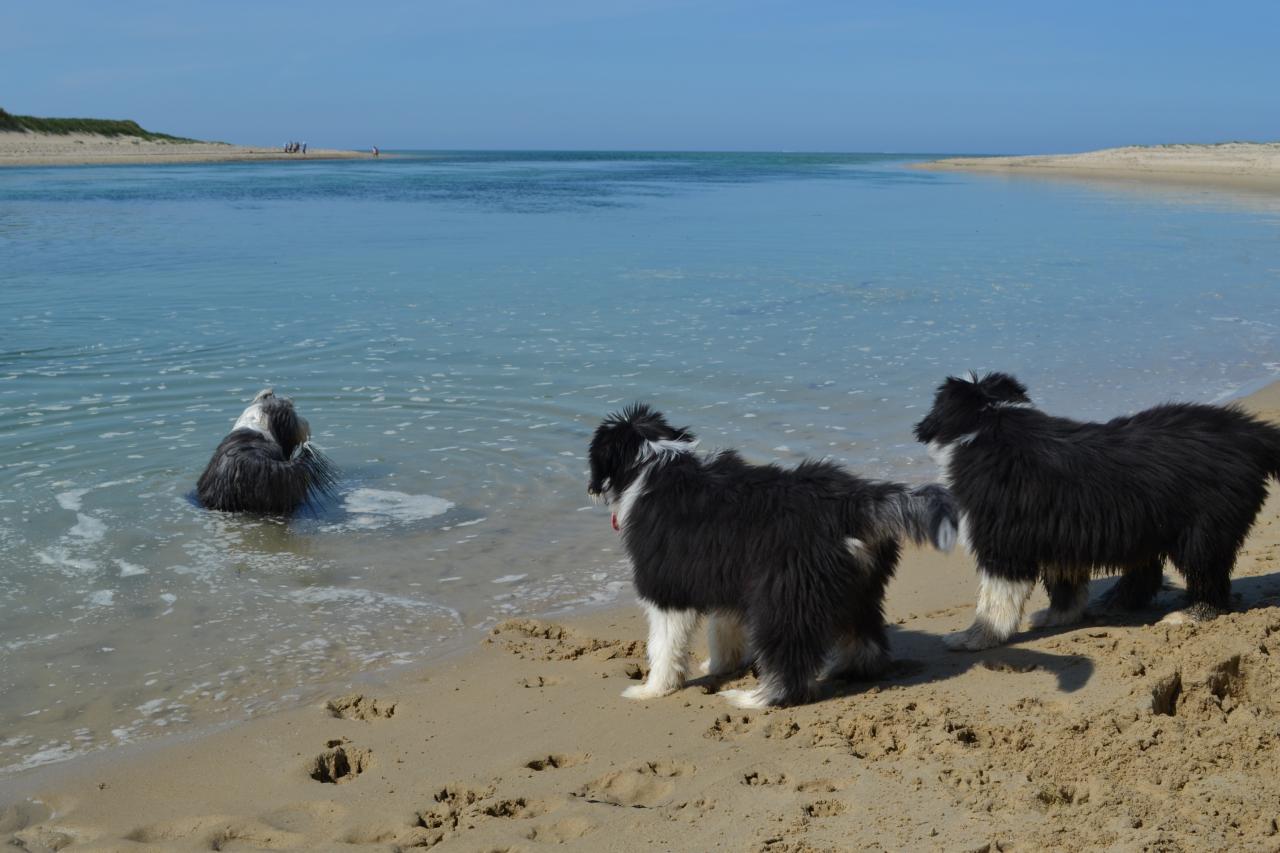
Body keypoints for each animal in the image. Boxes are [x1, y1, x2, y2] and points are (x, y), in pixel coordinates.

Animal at [586, 402, 957, 706]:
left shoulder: (665, 587)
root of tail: (851, 503)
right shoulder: (726, 576)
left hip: (784, 595)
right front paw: (720, 665)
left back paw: (753, 698)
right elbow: (724, 629)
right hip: (858, 586)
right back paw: (846, 670)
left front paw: (652, 690)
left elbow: (664, 644)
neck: (653, 465)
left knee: (788, 667)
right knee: (865, 641)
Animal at [916, 368, 1280, 648]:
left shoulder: (1003, 544)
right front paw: (1057, 616)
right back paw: (1115, 603)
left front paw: (974, 637)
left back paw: (1190, 614)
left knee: (1208, 576)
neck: (989, 422)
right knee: (1148, 573)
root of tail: (1248, 432)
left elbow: (994, 598)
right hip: (1150, 525)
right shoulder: (1059, 537)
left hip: (1202, 530)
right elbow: (1064, 585)